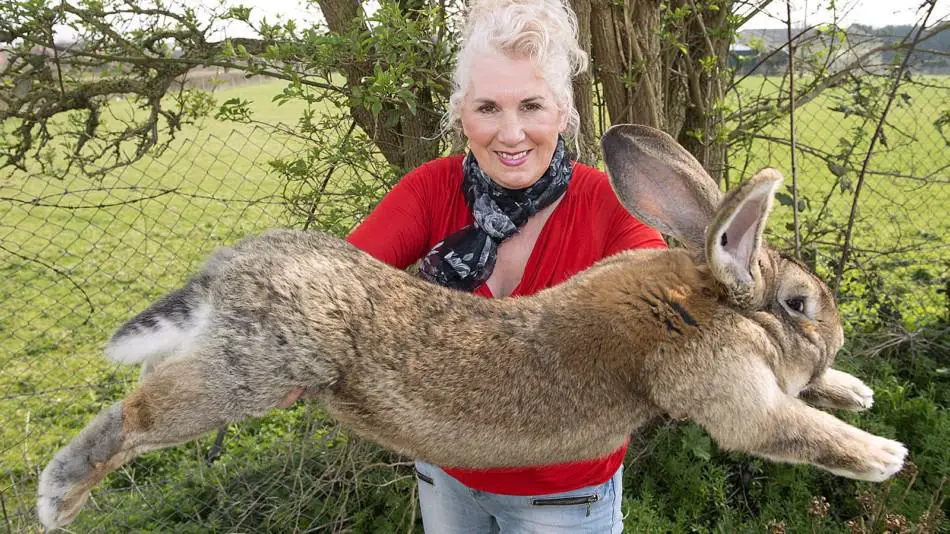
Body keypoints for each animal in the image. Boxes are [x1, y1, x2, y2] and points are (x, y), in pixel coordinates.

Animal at [37, 124, 908, 532]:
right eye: (800, 304)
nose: (834, 337)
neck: (704, 300)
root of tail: (229, 271)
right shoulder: (729, 392)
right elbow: (789, 428)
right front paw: (883, 455)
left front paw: (855, 390)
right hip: (244, 375)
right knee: (136, 415)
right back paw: (57, 498)